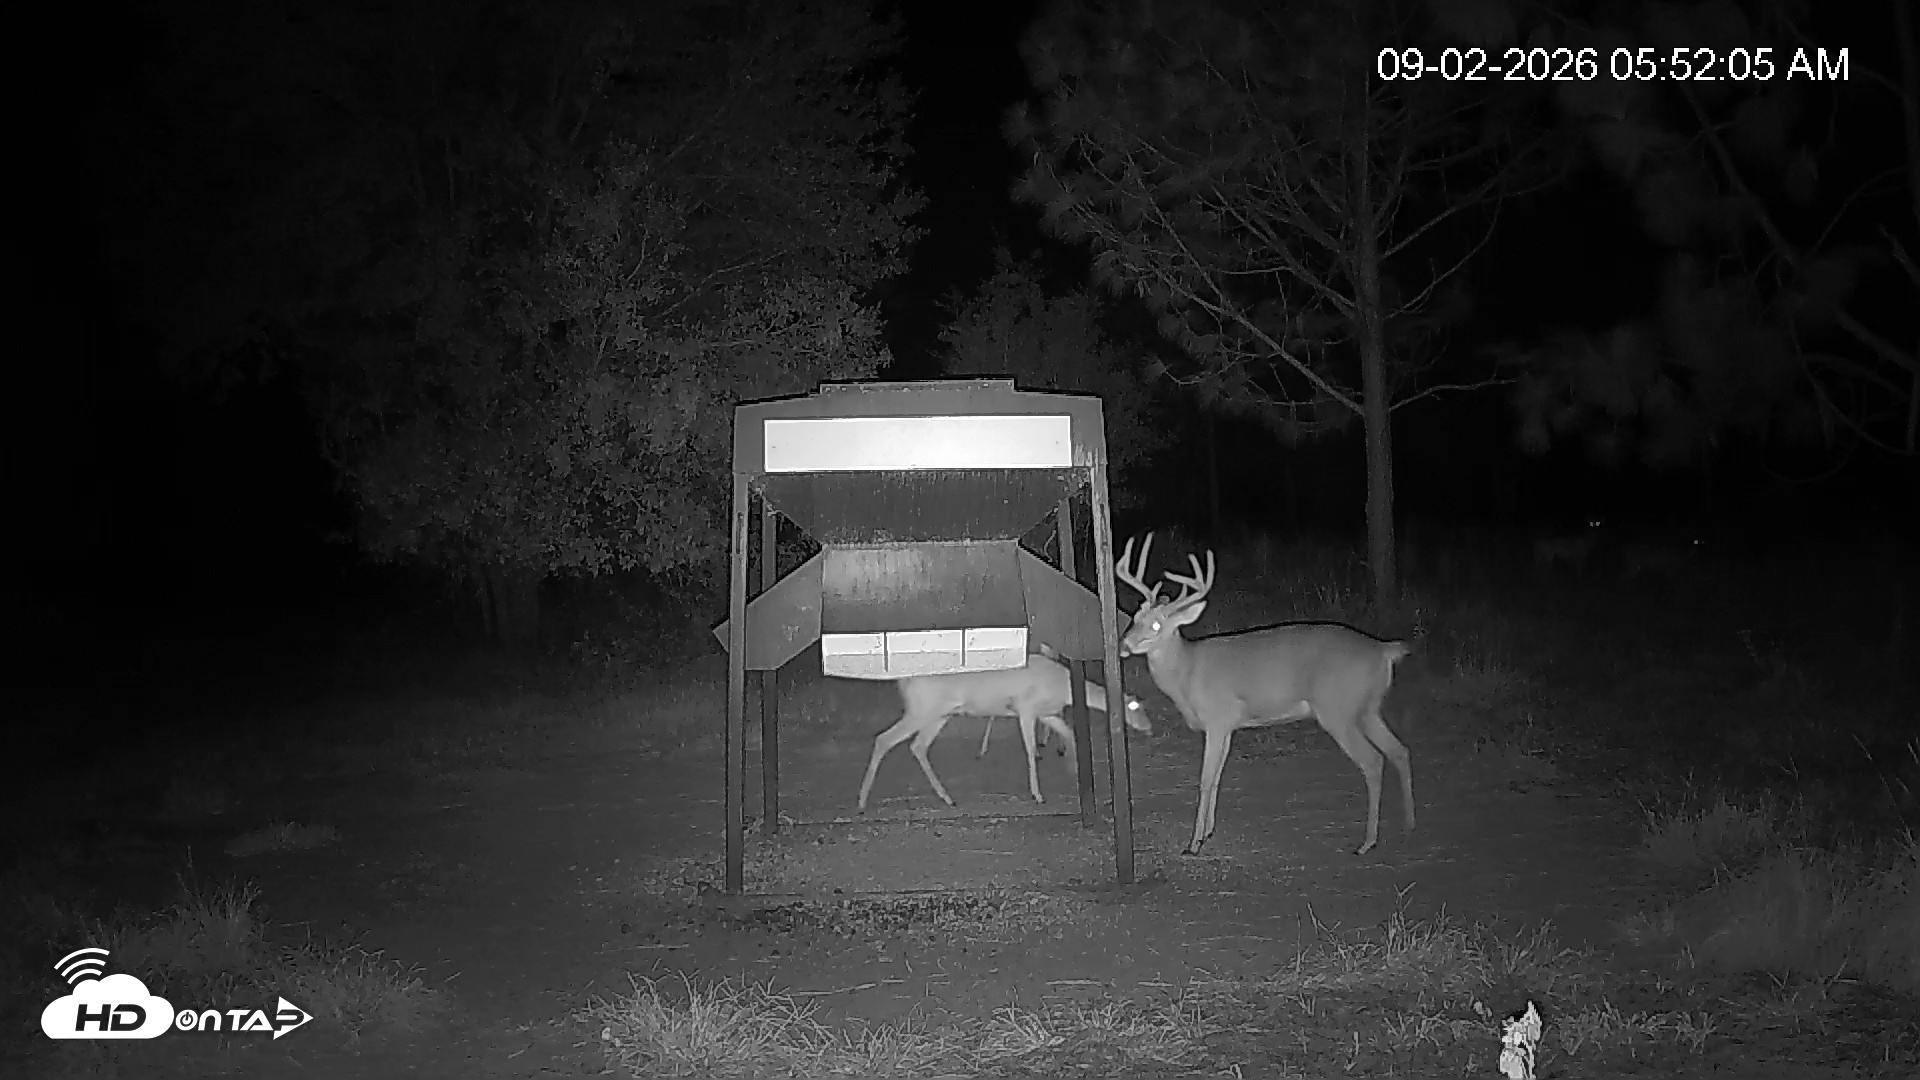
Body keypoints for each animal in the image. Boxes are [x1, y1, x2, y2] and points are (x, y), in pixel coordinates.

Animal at [857, 655, 1150, 811]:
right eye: (1134, 706)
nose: (1148, 727)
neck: (1062, 686)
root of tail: (903, 682)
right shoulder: (1026, 708)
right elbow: (1030, 750)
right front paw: (1038, 794)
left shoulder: (1047, 713)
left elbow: (1069, 734)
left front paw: (1074, 768)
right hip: (922, 709)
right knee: (884, 739)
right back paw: (861, 801)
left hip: (939, 714)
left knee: (918, 746)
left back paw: (948, 798)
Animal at [1115, 533, 1414, 856]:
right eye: (1136, 616)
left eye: (1157, 624)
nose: (1123, 644)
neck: (1187, 672)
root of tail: (1384, 650)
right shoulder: (1229, 726)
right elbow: (1218, 776)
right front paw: (1207, 832)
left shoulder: (1217, 718)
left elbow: (1206, 780)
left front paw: (1193, 844)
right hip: (1368, 709)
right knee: (1399, 751)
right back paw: (1409, 824)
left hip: (1338, 710)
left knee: (1373, 761)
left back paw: (1367, 842)